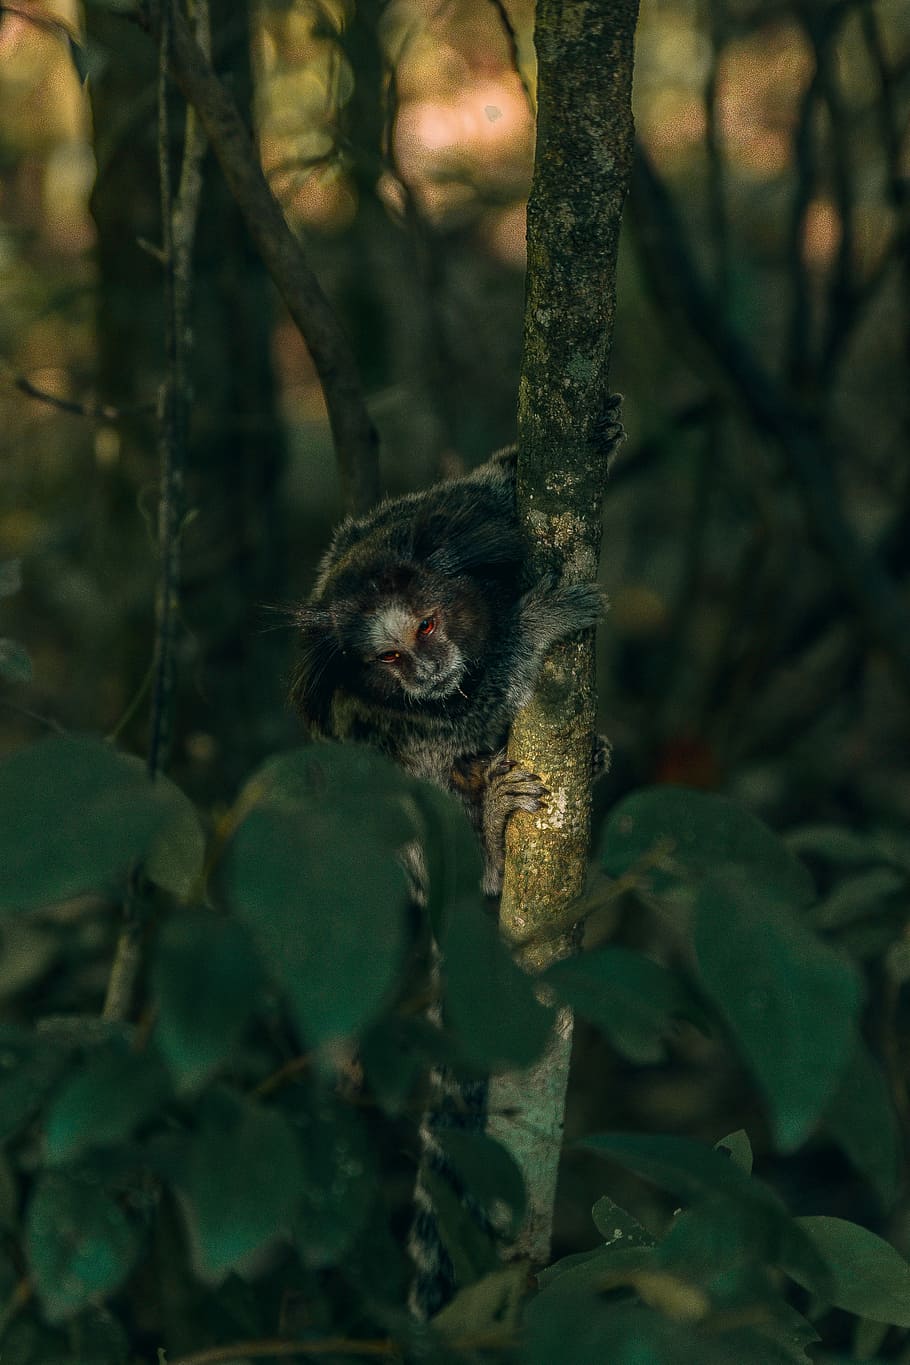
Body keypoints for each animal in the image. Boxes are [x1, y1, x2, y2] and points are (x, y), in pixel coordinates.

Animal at [290, 398, 624, 896]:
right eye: (389, 657)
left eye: (426, 627)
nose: (425, 673)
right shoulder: (391, 708)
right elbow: (470, 718)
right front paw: (537, 622)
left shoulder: (460, 511)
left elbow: (496, 485)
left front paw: (599, 432)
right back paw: (492, 846)